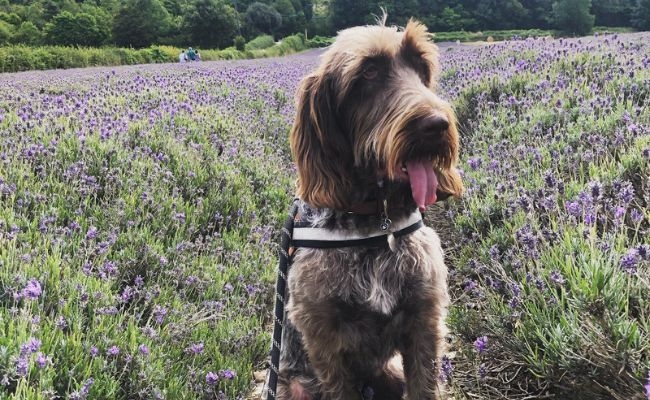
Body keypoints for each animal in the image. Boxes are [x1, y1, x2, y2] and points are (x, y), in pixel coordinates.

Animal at [276, 16, 464, 400]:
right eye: (369, 72)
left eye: (421, 67)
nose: (438, 125)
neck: (376, 222)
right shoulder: (323, 337)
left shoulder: (425, 320)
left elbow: (425, 383)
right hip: (296, 386)